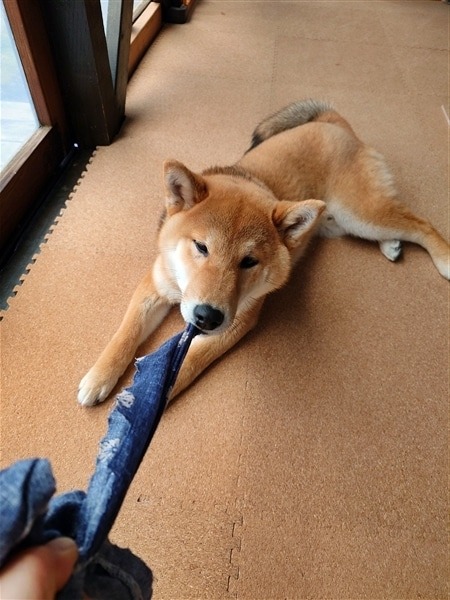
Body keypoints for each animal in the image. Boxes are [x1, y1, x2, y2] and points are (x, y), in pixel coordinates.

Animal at [78, 99, 449, 406]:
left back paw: (444, 259)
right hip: (345, 223)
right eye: (201, 247)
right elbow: (125, 333)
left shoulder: (238, 320)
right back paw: (391, 245)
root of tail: (334, 123)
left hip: (360, 214)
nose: (206, 317)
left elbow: (188, 363)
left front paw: (150, 397)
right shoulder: (154, 286)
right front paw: (99, 376)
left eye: (249, 261)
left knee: (420, 224)